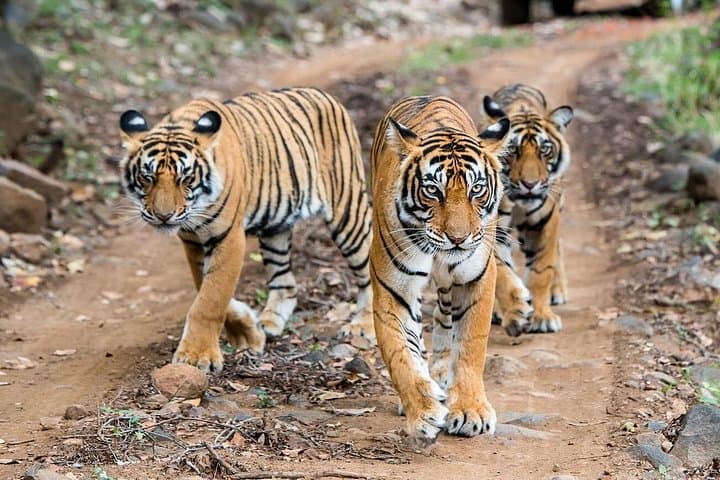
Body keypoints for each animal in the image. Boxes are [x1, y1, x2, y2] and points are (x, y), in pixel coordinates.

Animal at [119, 87, 373, 373]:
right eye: (147, 177)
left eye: (186, 178)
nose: (164, 216)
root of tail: (325, 95)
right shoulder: (193, 241)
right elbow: (205, 287)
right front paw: (248, 332)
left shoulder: (228, 238)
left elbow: (211, 298)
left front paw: (197, 356)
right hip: (275, 228)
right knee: (285, 282)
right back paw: (270, 323)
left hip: (348, 210)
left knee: (369, 269)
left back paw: (363, 326)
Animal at [369, 95, 510, 445]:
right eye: (433, 191)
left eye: (477, 189)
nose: (458, 238)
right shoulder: (393, 290)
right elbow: (401, 355)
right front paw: (422, 412)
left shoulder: (476, 279)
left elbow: (471, 346)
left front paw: (471, 412)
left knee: (446, 318)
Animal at [482, 83, 573, 335]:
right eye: (513, 150)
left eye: (544, 150)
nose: (530, 184)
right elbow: (502, 272)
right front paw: (515, 312)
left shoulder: (545, 222)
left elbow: (541, 270)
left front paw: (542, 317)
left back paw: (558, 291)